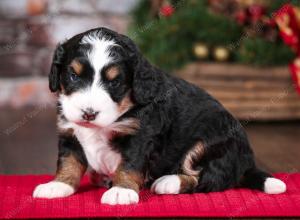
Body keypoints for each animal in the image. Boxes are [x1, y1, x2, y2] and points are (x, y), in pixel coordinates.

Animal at [32, 27, 286, 205]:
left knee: (208, 178)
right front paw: (58, 185)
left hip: (212, 141)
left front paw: (121, 190)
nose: (89, 113)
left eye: (115, 82)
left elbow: (129, 164)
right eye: (73, 76)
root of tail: (246, 162)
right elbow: (68, 162)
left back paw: (168, 181)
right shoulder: (70, 131)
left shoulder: (140, 135)